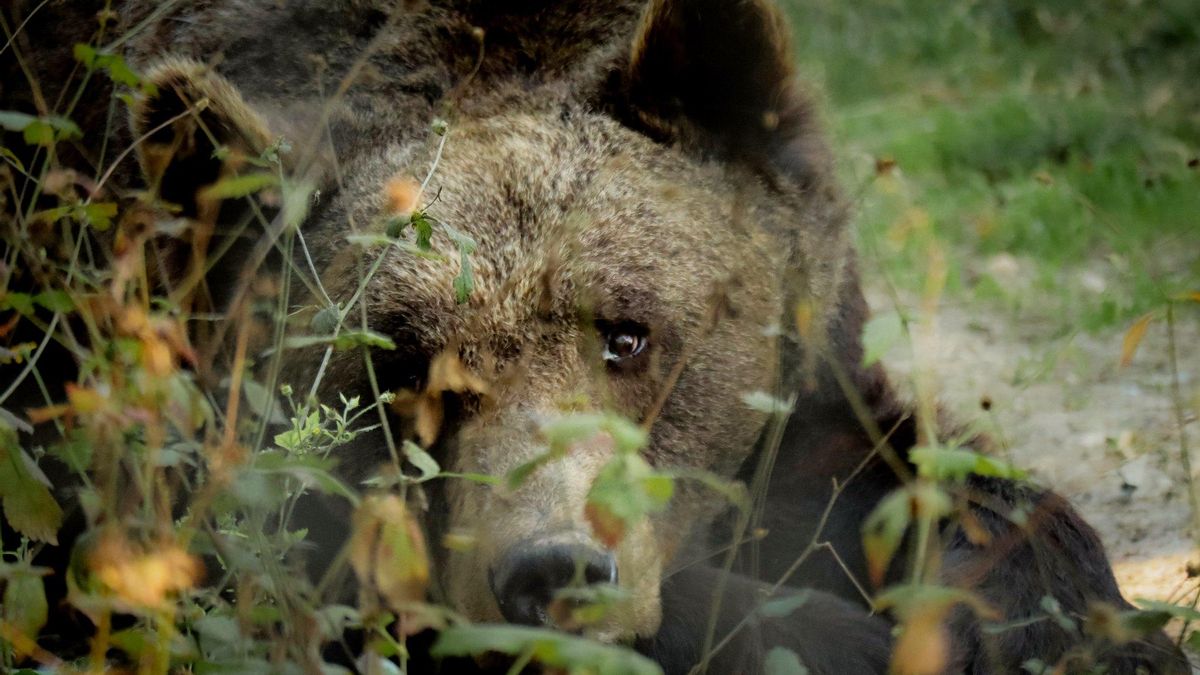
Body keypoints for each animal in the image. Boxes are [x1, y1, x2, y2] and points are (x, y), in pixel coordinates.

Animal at [0, 0, 1188, 673]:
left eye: (628, 335)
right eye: (401, 374)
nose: (554, 568)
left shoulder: (808, 349)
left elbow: (927, 478)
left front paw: (1070, 629)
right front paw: (836, 633)